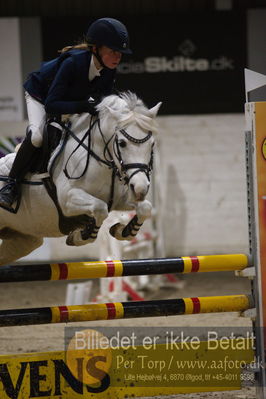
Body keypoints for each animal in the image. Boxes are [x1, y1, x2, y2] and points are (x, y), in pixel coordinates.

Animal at [0, 92, 161, 268]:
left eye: (152, 144)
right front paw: (80, 236)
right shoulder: (68, 200)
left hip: (25, 239)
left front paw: (122, 230)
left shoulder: (120, 199)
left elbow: (145, 208)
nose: (140, 189)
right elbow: (100, 209)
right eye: (122, 143)